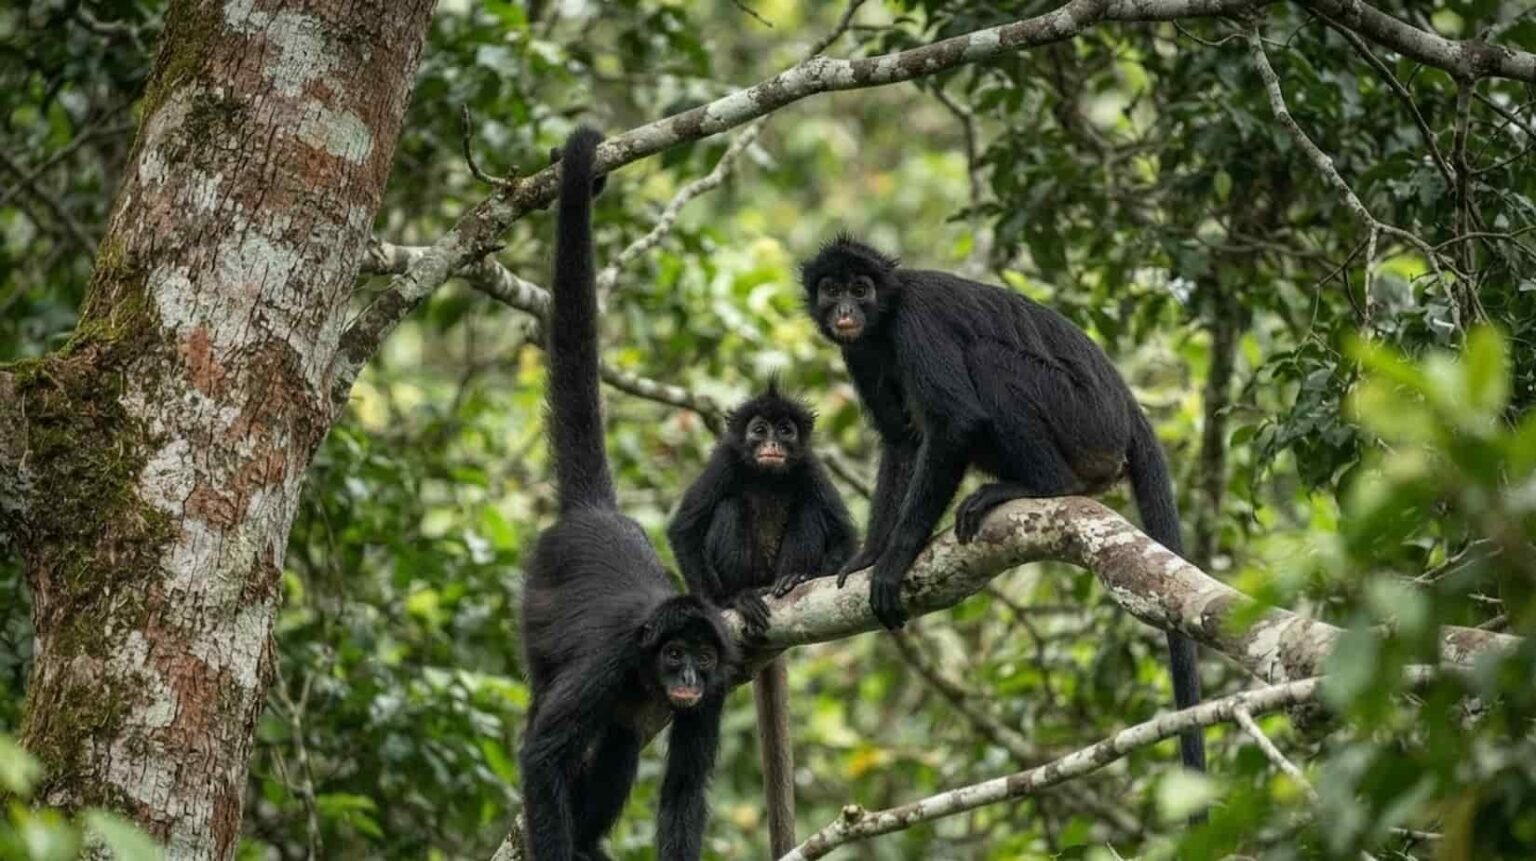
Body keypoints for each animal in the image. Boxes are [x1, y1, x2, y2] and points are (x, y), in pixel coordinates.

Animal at [519, 128, 736, 861]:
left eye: (702, 659)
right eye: (673, 655)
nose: (686, 679)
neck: (646, 671)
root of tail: (594, 513)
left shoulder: (721, 685)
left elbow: (684, 790)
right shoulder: (610, 662)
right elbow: (540, 755)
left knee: (617, 745)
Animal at [666, 384, 857, 856]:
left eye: (785, 430)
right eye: (759, 430)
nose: (771, 444)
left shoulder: (810, 466)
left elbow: (847, 537)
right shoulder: (725, 460)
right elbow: (684, 528)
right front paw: (720, 602)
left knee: (808, 509)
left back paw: (792, 578)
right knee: (730, 506)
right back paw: (744, 596)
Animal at [798, 233, 1206, 776]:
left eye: (861, 288)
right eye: (831, 289)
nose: (845, 310)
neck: (885, 319)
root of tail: (1128, 409)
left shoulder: (917, 320)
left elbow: (954, 422)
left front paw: (894, 559)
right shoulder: (861, 351)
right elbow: (903, 441)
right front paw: (869, 555)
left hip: (1082, 418)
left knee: (987, 359)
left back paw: (1041, 484)